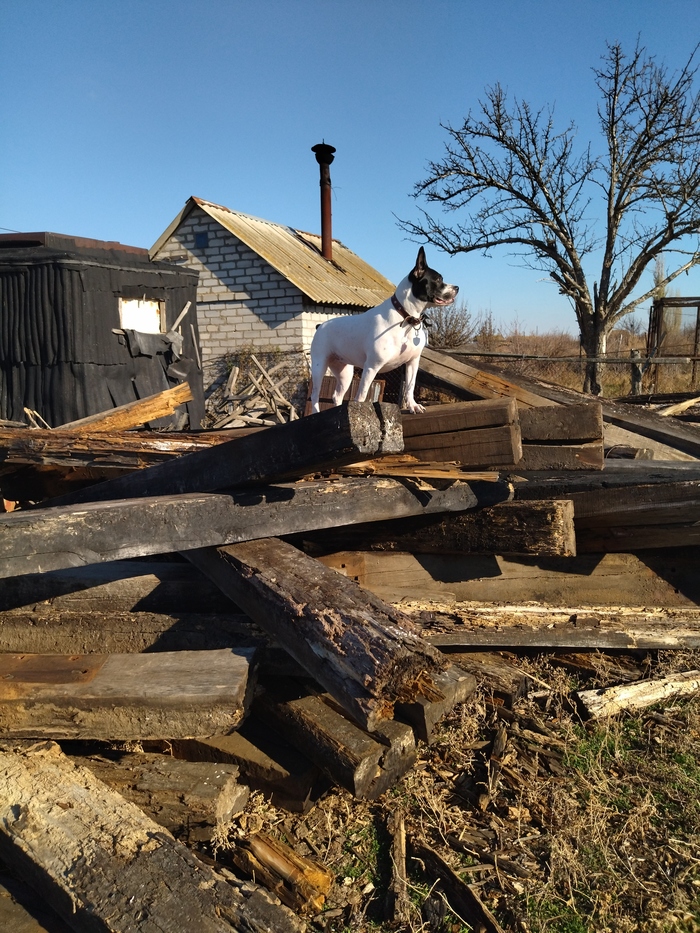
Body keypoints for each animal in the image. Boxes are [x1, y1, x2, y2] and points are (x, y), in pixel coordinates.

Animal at [312, 246, 460, 414]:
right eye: (438, 279)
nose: (457, 287)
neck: (406, 318)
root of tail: (320, 326)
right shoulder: (371, 367)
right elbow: (361, 395)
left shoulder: (412, 363)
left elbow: (410, 387)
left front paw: (413, 406)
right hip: (319, 367)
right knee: (315, 395)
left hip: (345, 372)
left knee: (337, 395)